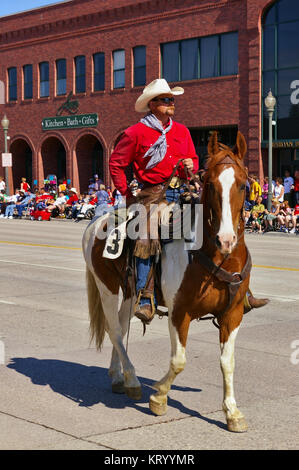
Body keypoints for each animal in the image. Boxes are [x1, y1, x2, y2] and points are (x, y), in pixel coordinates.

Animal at [82, 130, 251, 432]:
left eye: (242, 185)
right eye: (210, 185)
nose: (226, 239)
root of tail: (96, 221)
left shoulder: (233, 314)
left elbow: (228, 362)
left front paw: (232, 412)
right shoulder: (179, 313)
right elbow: (179, 361)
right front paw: (159, 397)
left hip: (130, 294)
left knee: (121, 327)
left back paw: (118, 376)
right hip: (107, 289)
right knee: (115, 331)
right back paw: (132, 380)